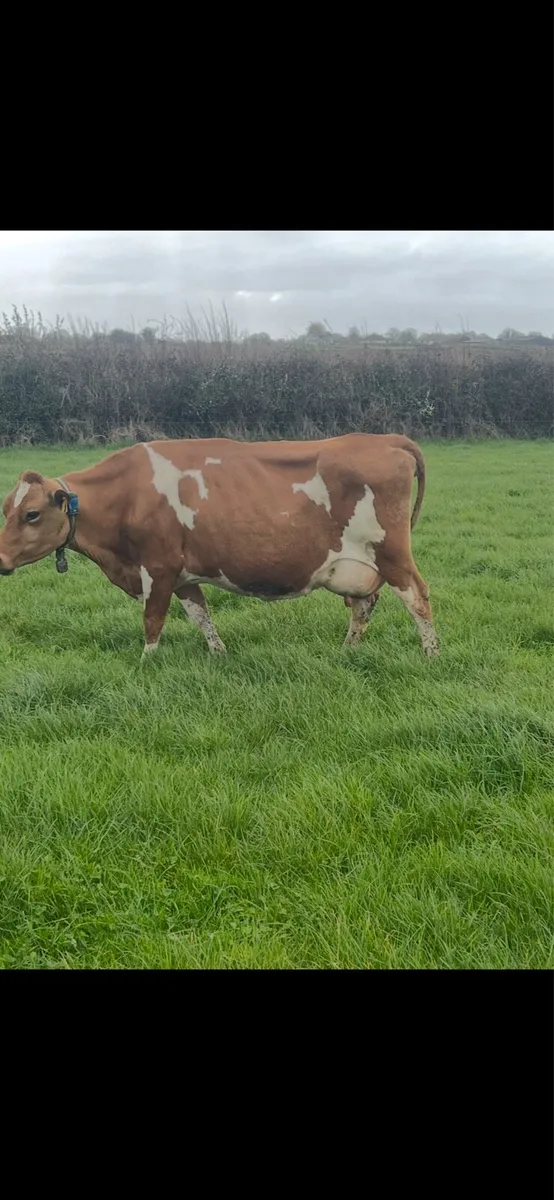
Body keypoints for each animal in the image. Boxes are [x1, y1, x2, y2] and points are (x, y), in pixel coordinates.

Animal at [0, 433, 439, 659]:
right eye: (7, 508)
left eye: (31, 514)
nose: (1, 559)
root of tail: (384, 439)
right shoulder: (183, 576)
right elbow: (201, 617)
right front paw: (218, 654)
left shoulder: (157, 568)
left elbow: (152, 620)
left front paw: (147, 662)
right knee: (364, 605)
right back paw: (346, 652)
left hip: (392, 553)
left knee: (417, 597)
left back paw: (431, 654)